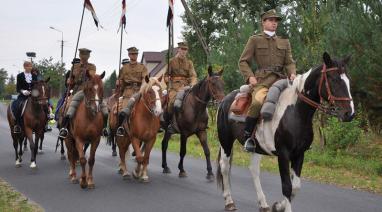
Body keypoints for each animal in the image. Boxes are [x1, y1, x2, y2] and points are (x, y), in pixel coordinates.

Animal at [216, 52, 354, 211]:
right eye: (334, 79)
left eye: (348, 80)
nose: (349, 114)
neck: (295, 112)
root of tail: (225, 100)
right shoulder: (283, 154)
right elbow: (287, 186)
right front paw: (283, 207)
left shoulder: (299, 154)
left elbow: (296, 186)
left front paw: (278, 205)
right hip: (225, 141)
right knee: (225, 167)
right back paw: (229, 202)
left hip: (256, 148)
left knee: (254, 170)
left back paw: (263, 204)